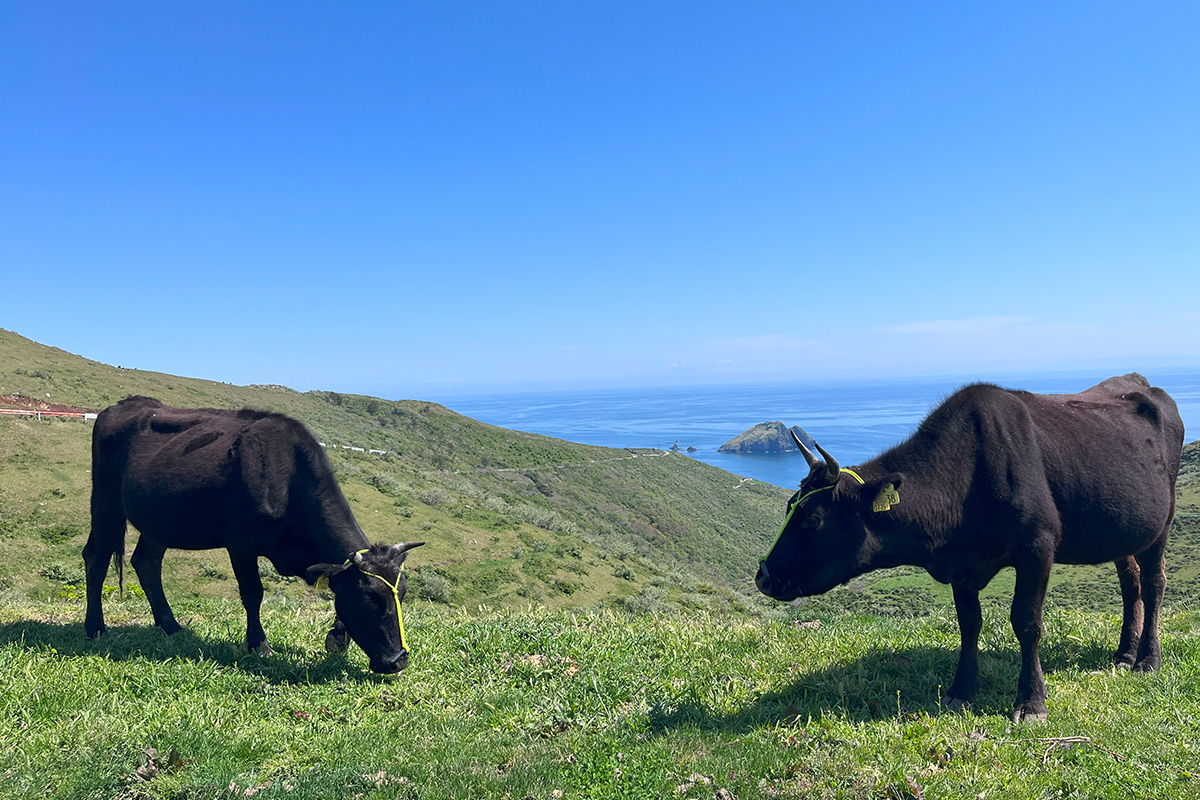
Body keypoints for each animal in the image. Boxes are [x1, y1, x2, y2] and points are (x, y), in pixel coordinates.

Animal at [84, 398, 424, 671]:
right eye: (371, 599)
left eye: (402, 595)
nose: (398, 661)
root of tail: (124, 404)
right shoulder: (241, 545)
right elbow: (253, 593)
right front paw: (259, 644)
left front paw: (338, 636)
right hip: (105, 502)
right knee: (96, 557)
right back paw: (94, 627)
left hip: (158, 520)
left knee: (146, 563)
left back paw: (170, 626)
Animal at [753, 376, 1185, 724]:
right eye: (788, 506)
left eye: (813, 521)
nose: (764, 576)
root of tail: (1142, 384)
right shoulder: (961, 563)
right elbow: (969, 624)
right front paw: (961, 691)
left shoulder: (1038, 546)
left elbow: (1026, 622)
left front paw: (1032, 702)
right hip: (1124, 532)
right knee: (1130, 583)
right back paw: (1124, 653)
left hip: (1162, 523)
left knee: (1154, 583)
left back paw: (1147, 659)